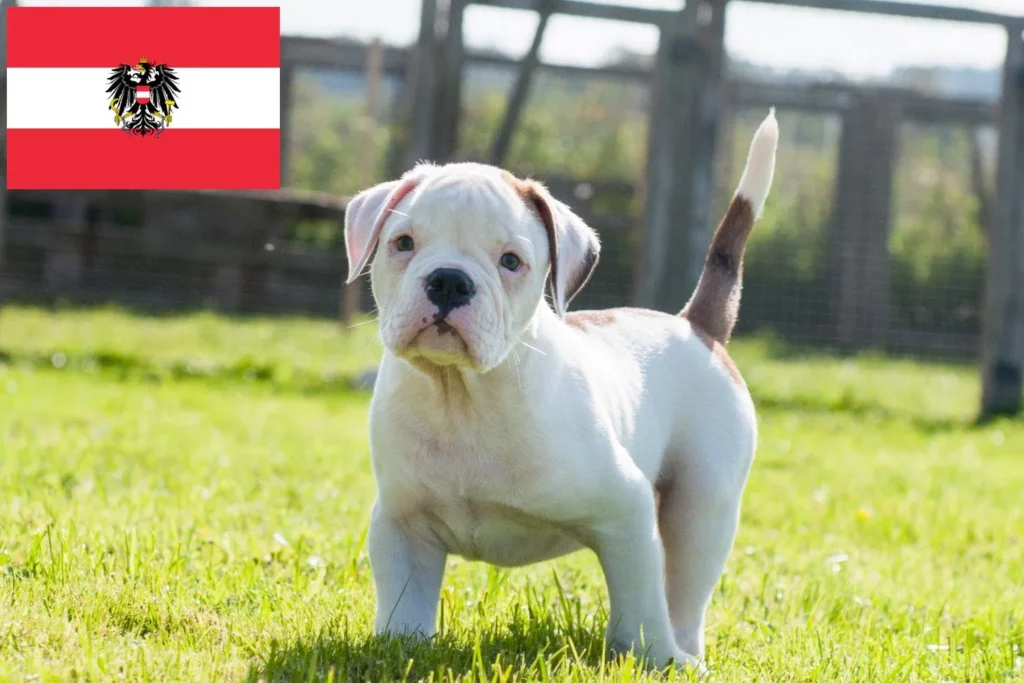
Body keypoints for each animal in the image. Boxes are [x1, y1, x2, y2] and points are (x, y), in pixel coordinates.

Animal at [342, 111, 774, 667]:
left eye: (511, 261)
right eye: (403, 243)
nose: (449, 281)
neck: (465, 397)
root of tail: (694, 325)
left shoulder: (626, 509)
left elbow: (640, 607)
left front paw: (653, 657)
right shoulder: (403, 525)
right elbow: (405, 606)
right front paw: (400, 649)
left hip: (702, 505)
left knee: (684, 593)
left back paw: (685, 656)